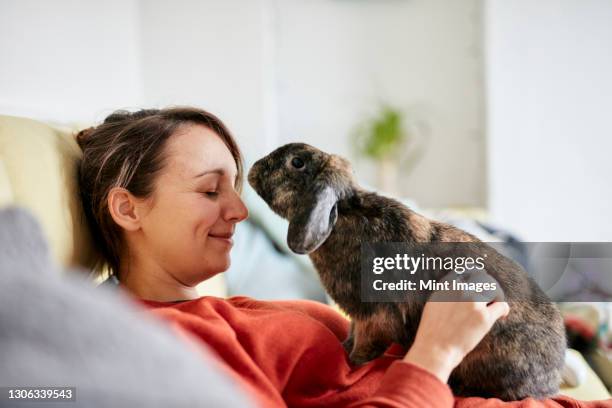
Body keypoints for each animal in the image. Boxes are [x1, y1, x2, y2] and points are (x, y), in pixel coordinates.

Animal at [246, 142, 568, 400]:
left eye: (297, 162)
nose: (252, 169)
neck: (344, 215)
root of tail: (551, 380)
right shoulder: (358, 318)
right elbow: (351, 335)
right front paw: (343, 349)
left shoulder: (374, 319)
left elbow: (364, 346)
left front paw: (351, 364)